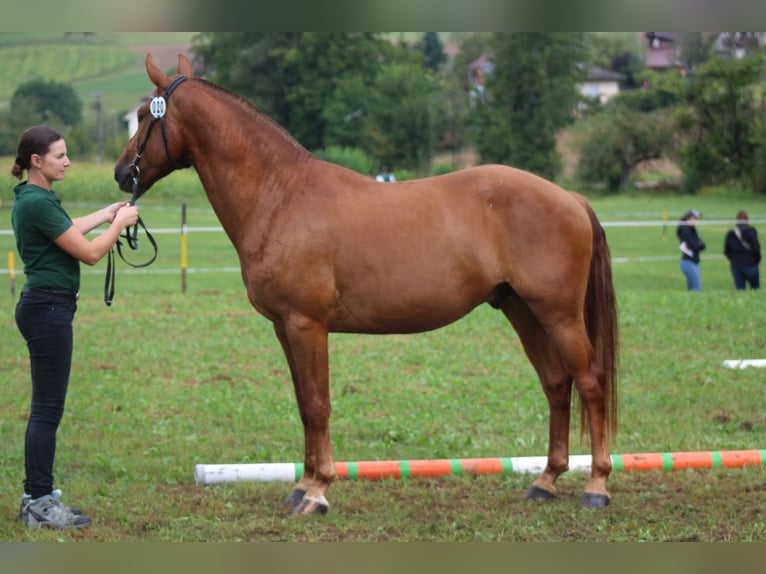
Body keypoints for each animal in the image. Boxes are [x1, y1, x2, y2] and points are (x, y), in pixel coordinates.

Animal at [114, 53, 620, 512]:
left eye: (143, 115)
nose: (121, 174)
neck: (281, 196)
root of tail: (569, 197)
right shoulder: (283, 326)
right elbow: (302, 403)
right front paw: (301, 485)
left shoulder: (306, 324)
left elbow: (317, 403)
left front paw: (317, 492)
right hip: (523, 310)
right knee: (556, 384)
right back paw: (545, 482)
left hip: (558, 314)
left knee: (590, 383)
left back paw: (596, 487)